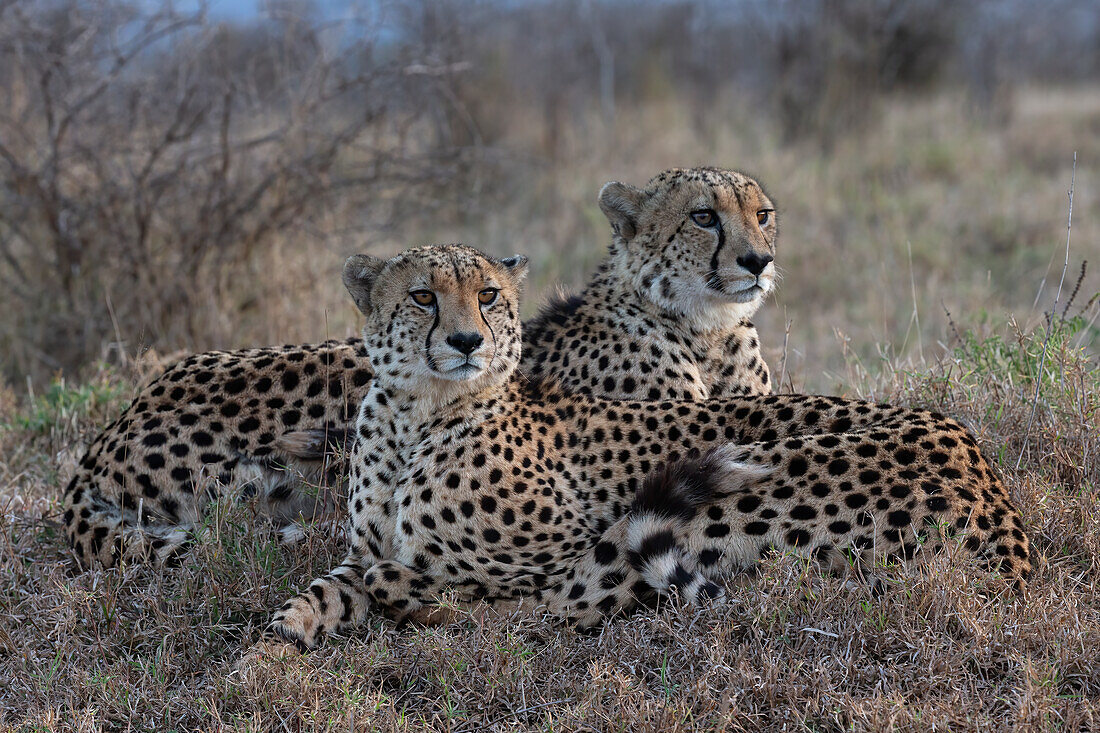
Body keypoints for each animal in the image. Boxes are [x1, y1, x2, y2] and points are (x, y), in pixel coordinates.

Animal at [268, 242, 1029, 647]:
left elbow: (511, 592)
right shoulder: (360, 549)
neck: (416, 414)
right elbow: (323, 587)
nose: (465, 341)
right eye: (423, 296)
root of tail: (974, 454)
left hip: (749, 482)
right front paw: (277, 638)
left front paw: (417, 593)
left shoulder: (559, 548)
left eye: (488, 295)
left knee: (564, 607)